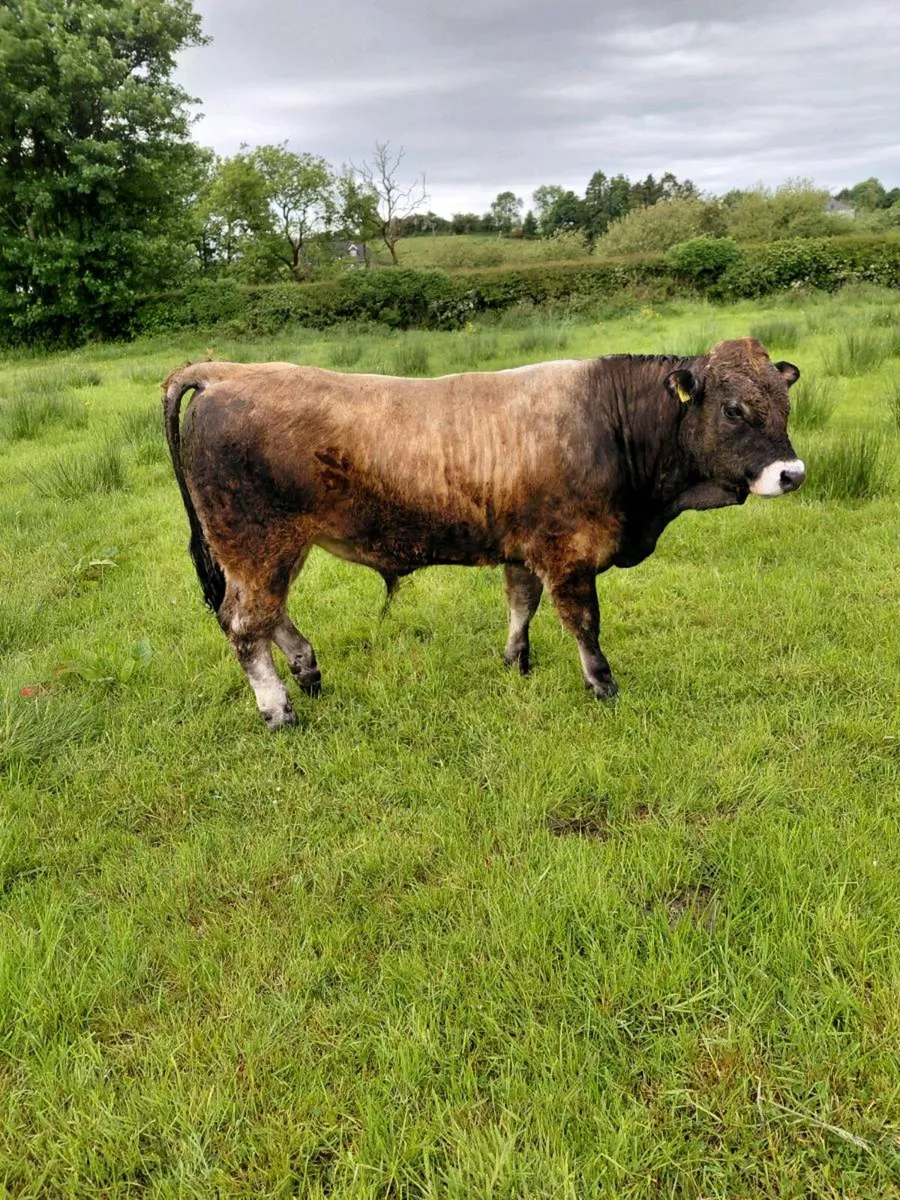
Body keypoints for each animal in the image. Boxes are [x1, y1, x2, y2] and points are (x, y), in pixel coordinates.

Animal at [163, 339, 804, 730]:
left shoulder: (524, 546)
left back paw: (307, 670)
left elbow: (522, 603)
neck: (613, 422)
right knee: (245, 625)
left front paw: (516, 662)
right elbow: (584, 622)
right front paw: (602, 686)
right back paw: (279, 710)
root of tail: (226, 372)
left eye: (784, 403)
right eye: (733, 409)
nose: (792, 473)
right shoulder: (570, 551)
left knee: (268, 615)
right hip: (257, 541)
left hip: (278, 547)